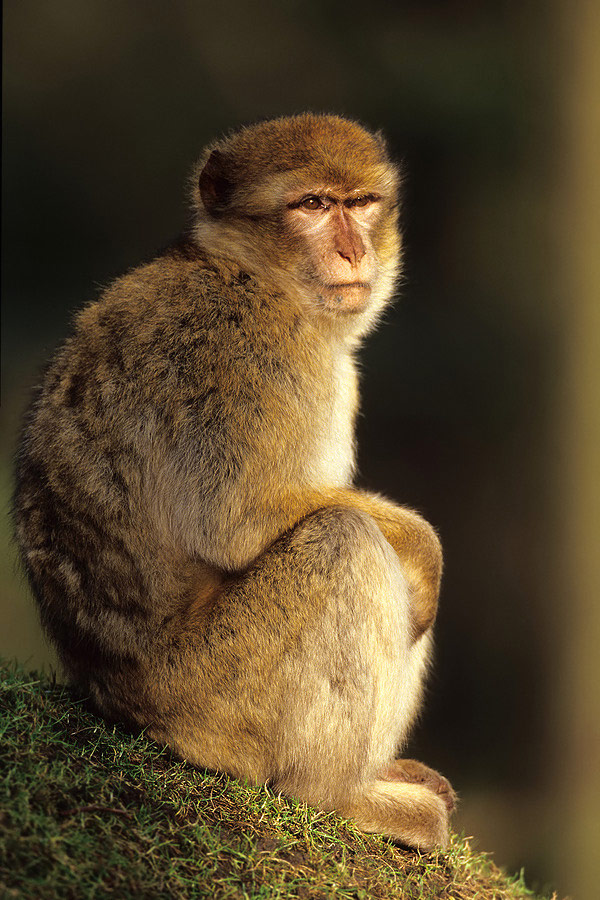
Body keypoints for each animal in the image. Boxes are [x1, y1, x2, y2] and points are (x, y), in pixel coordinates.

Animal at [12, 114, 454, 852]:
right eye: (312, 205)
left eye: (360, 203)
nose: (352, 250)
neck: (250, 274)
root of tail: (116, 702)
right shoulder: (245, 351)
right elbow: (236, 519)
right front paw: (427, 553)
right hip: (215, 696)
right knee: (344, 539)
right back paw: (336, 796)